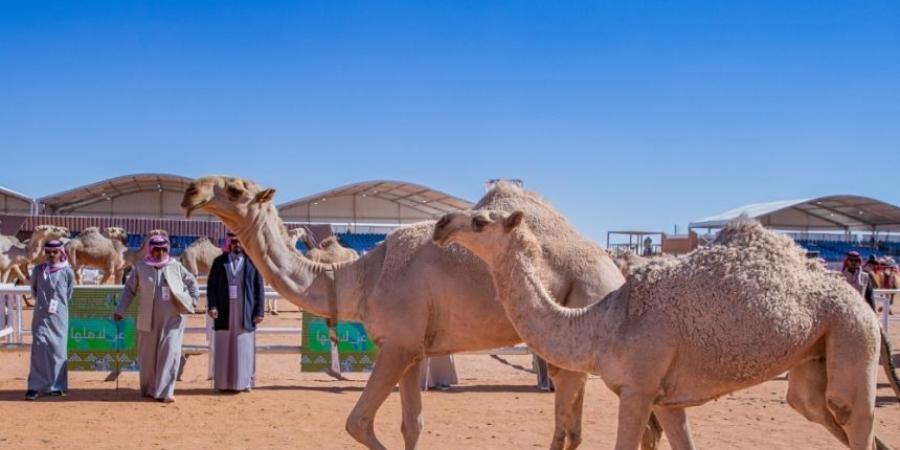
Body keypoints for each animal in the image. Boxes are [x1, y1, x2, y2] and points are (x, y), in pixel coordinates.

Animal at [183, 176, 660, 450]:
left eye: (236, 189)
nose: (190, 192)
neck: (360, 274)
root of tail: (614, 267)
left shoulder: (395, 345)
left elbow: (357, 423)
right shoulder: (412, 350)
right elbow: (411, 424)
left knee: (581, 426)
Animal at [432, 213, 896, 450]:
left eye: (480, 220)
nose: (441, 223)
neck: (602, 327)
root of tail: (865, 304)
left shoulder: (638, 390)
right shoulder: (666, 399)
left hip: (852, 334)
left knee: (854, 415)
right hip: (814, 358)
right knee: (817, 408)